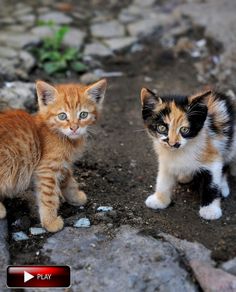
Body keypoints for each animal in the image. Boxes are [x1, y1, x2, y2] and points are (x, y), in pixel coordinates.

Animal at [0, 78, 107, 232]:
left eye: (83, 115)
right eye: (62, 116)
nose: (74, 128)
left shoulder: (62, 165)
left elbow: (68, 180)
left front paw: (76, 197)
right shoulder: (46, 169)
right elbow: (48, 196)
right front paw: (50, 222)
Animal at [141, 88, 235, 220]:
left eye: (184, 130)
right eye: (161, 128)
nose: (172, 143)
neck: (181, 151)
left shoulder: (213, 156)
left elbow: (212, 183)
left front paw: (210, 210)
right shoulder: (165, 160)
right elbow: (163, 179)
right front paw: (159, 199)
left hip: (230, 143)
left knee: (226, 164)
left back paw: (223, 187)